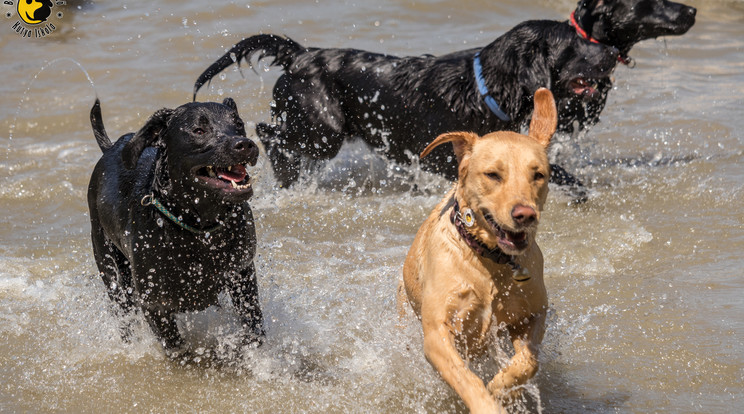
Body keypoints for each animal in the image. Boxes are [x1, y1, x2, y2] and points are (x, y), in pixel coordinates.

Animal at [87, 98, 264, 356]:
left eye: (238, 124)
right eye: (199, 130)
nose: (245, 144)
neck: (199, 228)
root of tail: (110, 149)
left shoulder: (243, 275)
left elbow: (254, 326)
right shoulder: (154, 306)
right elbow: (177, 348)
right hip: (111, 269)